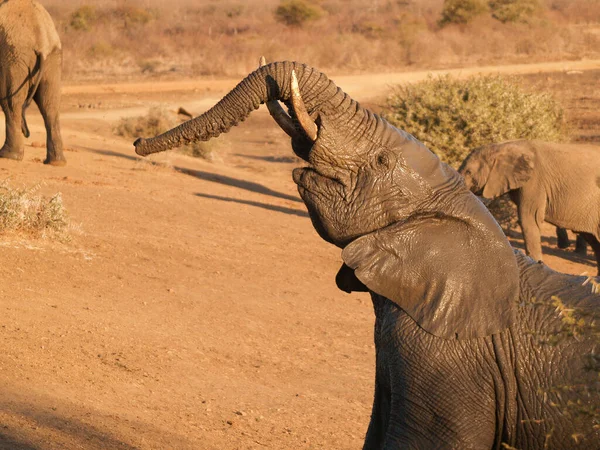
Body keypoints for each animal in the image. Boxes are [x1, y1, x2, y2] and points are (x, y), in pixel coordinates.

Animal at [0, 0, 66, 165]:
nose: (26, 132)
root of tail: (41, 39)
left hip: (13, 56)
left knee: (10, 102)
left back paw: (8, 155)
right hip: (52, 58)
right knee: (50, 104)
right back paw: (56, 162)